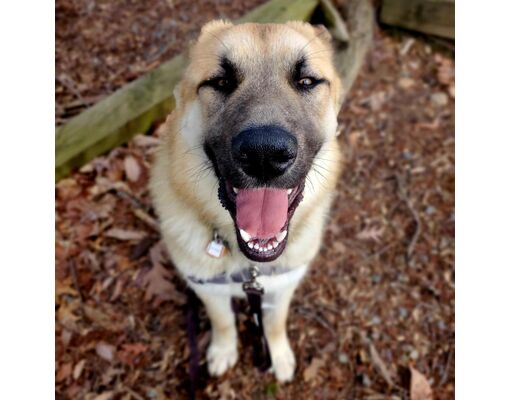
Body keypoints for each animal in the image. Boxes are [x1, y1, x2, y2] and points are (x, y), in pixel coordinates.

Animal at [149, 20, 344, 382]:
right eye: (221, 82)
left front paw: (277, 354)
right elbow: (223, 322)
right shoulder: (208, 290)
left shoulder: (282, 286)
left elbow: (275, 322)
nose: (264, 154)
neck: (250, 266)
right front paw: (224, 351)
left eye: (306, 81)